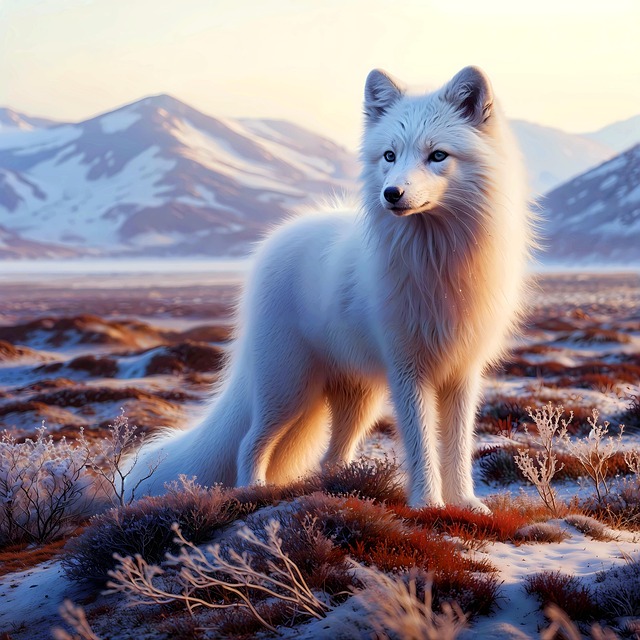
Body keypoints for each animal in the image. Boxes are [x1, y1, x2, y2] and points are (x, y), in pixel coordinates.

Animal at [126, 66, 533, 511]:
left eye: (438, 155)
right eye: (389, 156)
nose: (392, 193)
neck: (438, 260)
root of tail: (274, 242)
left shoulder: (462, 371)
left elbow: (457, 446)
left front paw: (464, 503)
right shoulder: (407, 370)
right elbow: (422, 446)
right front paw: (428, 505)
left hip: (358, 398)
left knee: (331, 458)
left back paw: (340, 488)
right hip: (288, 388)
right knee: (250, 442)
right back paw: (254, 490)